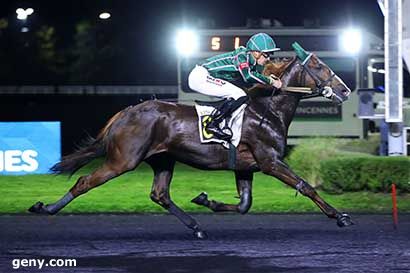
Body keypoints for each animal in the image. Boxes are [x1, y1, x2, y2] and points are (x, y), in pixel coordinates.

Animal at [29, 51, 352, 238]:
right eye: (320, 66)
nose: (345, 90)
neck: (268, 108)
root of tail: (126, 112)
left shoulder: (246, 166)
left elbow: (244, 204)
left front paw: (205, 200)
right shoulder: (270, 162)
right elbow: (305, 186)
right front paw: (340, 216)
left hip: (162, 159)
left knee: (159, 194)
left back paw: (196, 227)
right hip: (123, 160)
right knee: (84, 182)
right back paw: (46, 208)